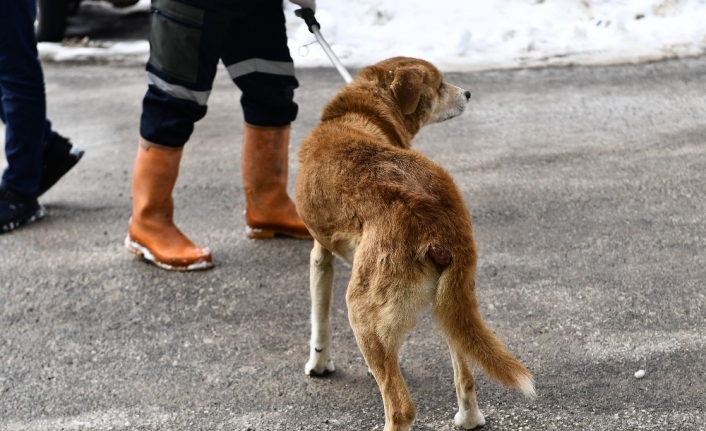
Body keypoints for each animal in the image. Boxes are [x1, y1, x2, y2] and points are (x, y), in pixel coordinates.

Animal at [292, 58, 532, 431]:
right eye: (440, 84)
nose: (468, 93)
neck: (361, 113)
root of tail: (434, 214)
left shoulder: (320, 253)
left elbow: (320, 320)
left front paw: (318, 364)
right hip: (451, 302)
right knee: (464, 375)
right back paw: (469, 417)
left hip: (362, 309)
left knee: (401, 407)